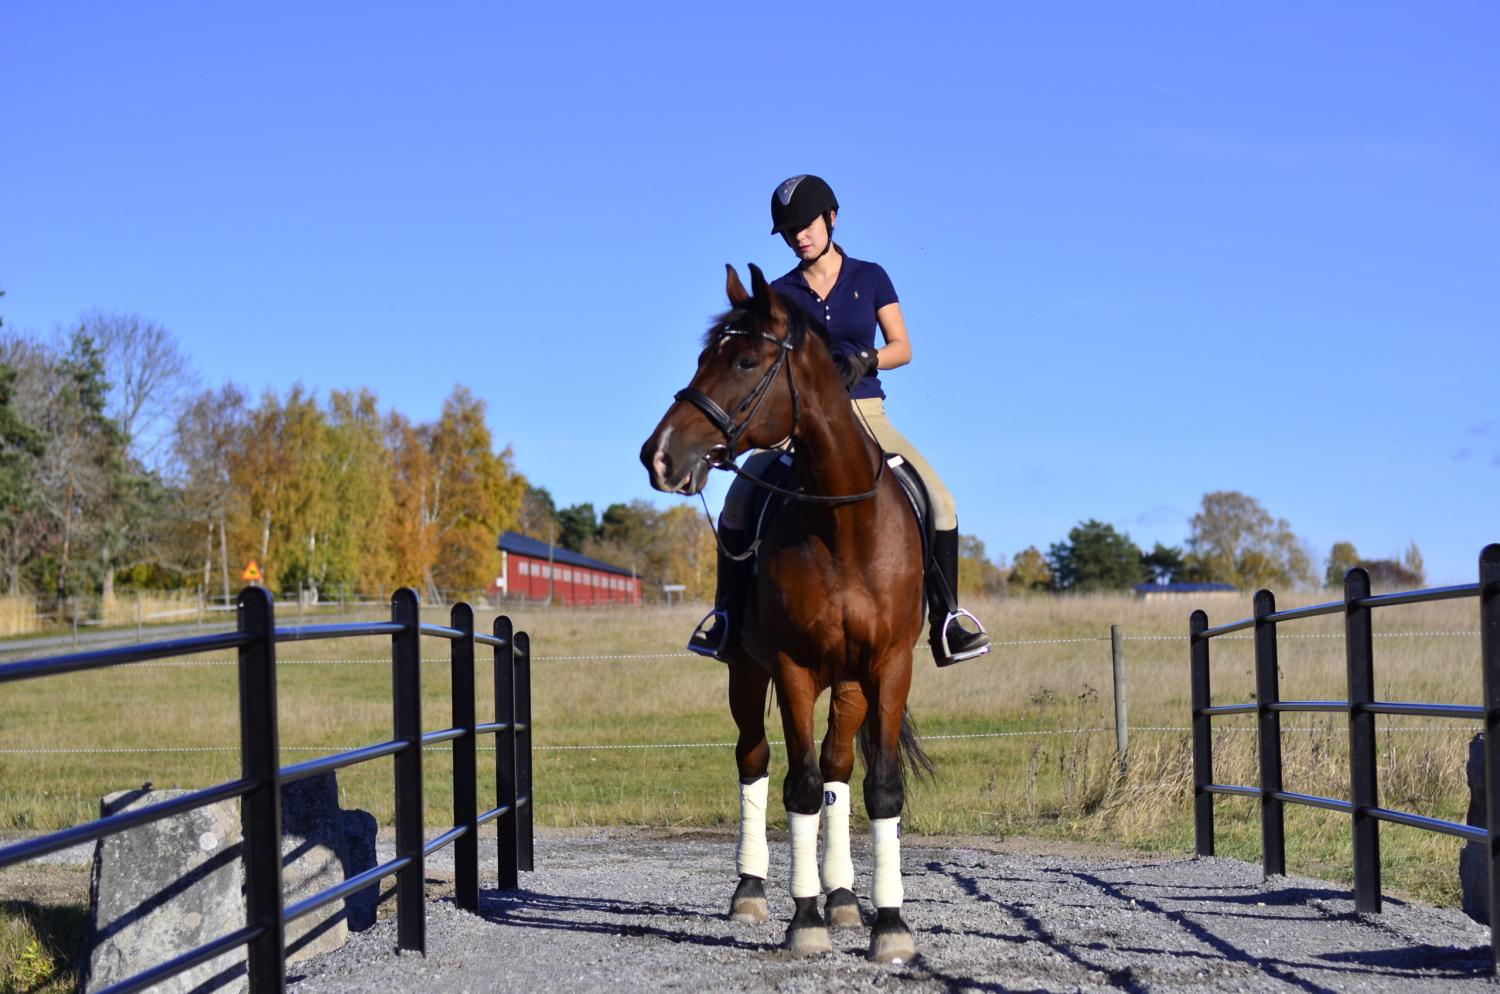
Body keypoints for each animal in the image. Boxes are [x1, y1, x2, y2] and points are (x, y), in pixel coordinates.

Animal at [639, 263, 930, 965]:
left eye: (745, 360)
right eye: (702, 359)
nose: (658, 456)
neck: (843, 522)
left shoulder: (890, 666)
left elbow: (877, 787)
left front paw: (888, 925)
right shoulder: (793, 666)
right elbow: (796, 785)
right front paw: (805, 920)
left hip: (850, 683)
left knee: (838, 768)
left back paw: (846, 897)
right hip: (746, 672)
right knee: (754, 758)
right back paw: (750, 890)